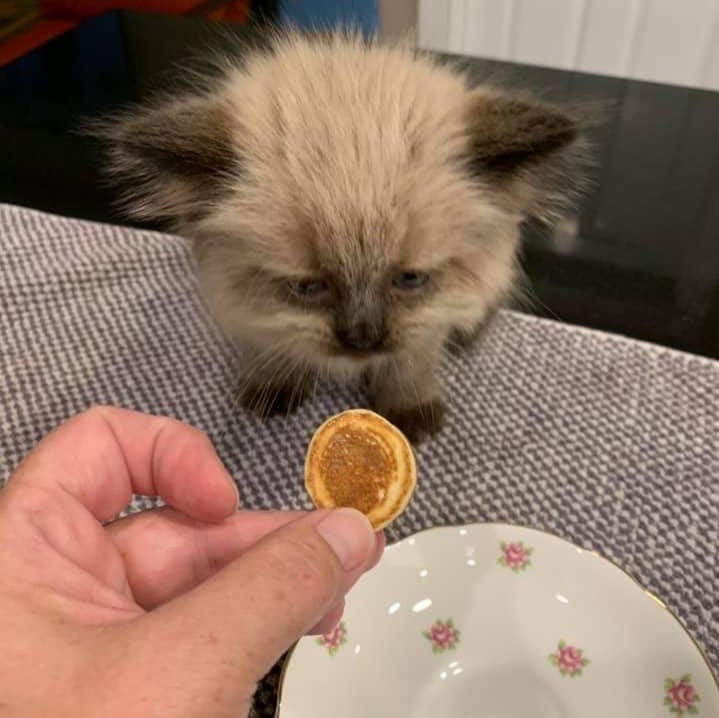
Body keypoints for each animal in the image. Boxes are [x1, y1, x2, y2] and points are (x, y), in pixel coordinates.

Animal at [98, 32, 588, 444]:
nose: (362, 339)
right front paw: (275, 384)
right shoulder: (255, 307)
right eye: (307, 287)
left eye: (410, 279)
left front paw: (408, 409)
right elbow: (272, 338)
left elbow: (411, 359)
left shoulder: (428, 318)